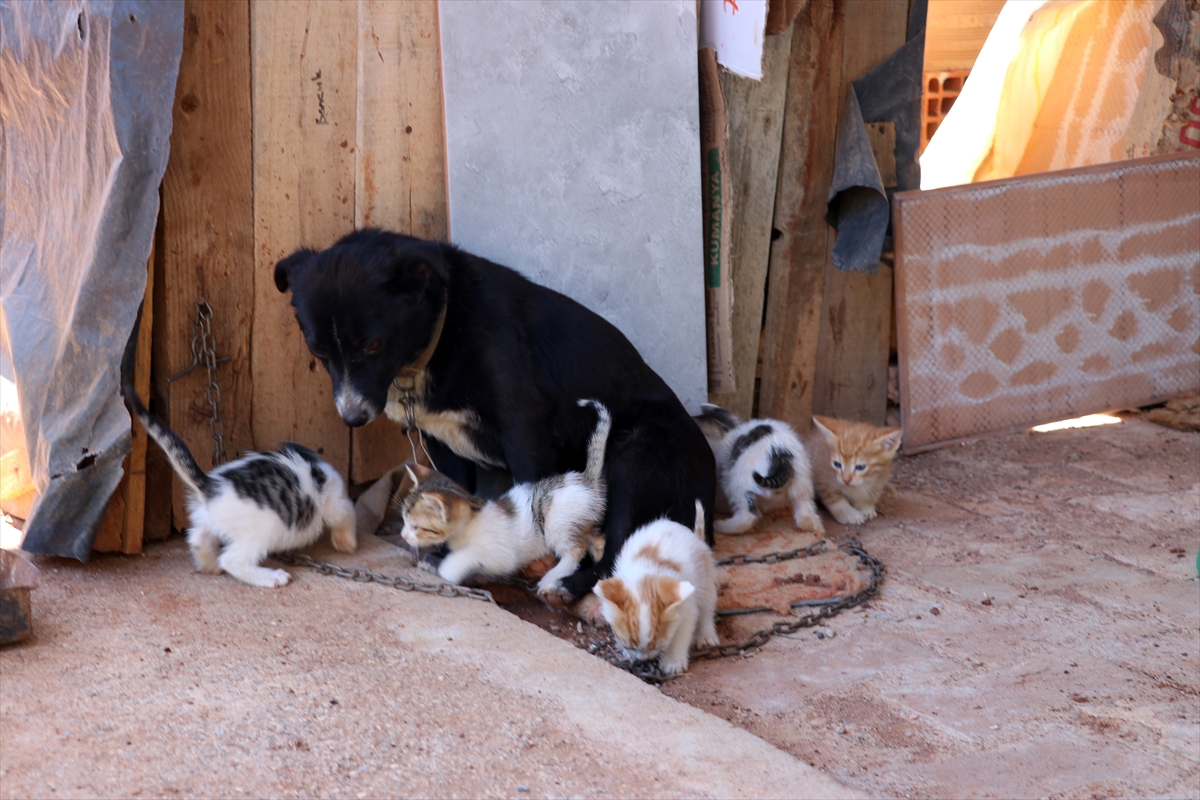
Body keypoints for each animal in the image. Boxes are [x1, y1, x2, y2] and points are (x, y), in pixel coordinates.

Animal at [123, 383, 355, 585]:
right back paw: (271, 577)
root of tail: (209, 485)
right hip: (261, 531)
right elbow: (346, 515)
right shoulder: (333, 500)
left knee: (197, 538)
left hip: (209, 520)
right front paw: (346, 542)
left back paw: (209, 564)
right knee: (232, 560)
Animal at [276, 227, 715, 604]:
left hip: (635, 457)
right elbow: (450, 492)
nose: (352, 418)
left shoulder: (524, 431)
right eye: (317, 350)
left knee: (616, 548)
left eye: (372, 344)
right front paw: (442, 551)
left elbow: (527, 496)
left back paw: (567, 584)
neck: (442, 335)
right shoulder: (441, 441)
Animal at [592, 501, 715, 676]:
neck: (647, 574)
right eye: (630, 645)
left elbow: (682, 633)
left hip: (705, 574)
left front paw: (673, 661)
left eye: (657, 645)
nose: (643, 660)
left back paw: (706, 635)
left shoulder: (687, 606)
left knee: (706, 606)